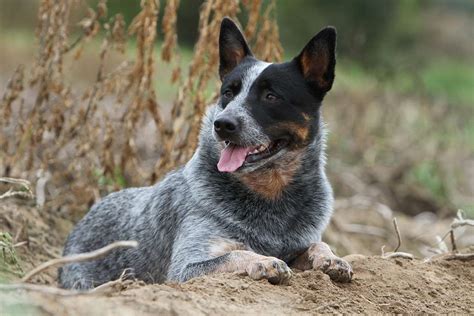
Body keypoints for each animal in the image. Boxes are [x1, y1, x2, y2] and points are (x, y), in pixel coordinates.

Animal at [58, 16, 352, 288]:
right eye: (228, 93)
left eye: (271, 96)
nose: (222, 124)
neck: (271, 195)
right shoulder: (185, 268)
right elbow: (236, 254)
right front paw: (265, 261)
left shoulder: (299, 243)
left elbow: (316, 245)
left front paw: (332, 258)